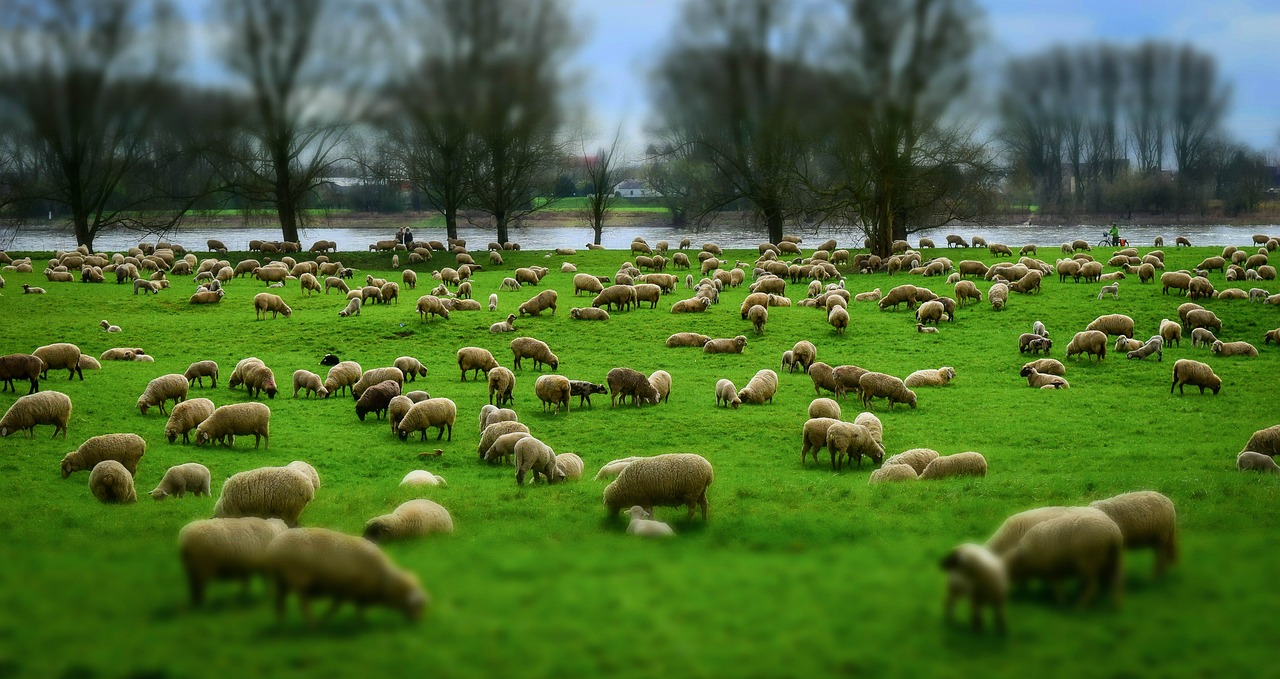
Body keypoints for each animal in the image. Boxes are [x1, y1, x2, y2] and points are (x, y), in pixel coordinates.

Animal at [266, 527, 427, 623]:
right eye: (418, 606)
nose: (417, 623)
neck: (384, 580)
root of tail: (273, 546)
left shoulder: (351, 590)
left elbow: (353, 607)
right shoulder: (349, 588)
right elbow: (344, 607)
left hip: (281, 579)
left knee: (279, 601)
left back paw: (281, 623)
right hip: (299, 578)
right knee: (303, 603)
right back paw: (312, 623)